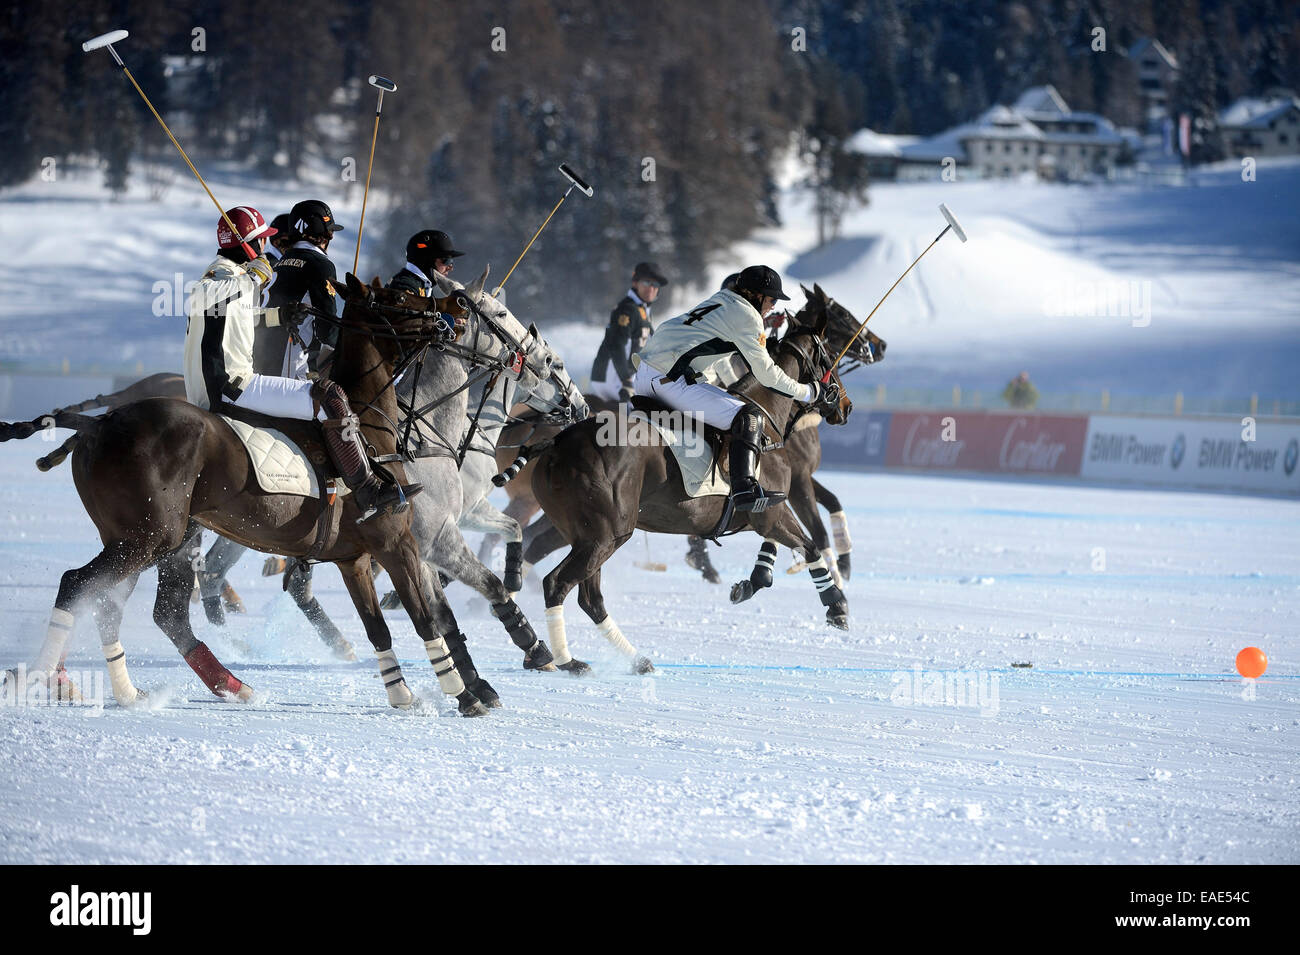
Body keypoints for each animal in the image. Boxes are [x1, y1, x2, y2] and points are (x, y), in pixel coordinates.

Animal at [0, 276, 491, 717]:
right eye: (401, 298)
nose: (453, 313)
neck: (373, 427)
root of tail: (98, 424)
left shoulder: (353, 559)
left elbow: (378, 629)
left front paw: (402, 694)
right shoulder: (395, 542)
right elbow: (424, 615)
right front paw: (463, 694)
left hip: (144, 539)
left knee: (128, 608)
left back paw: (162, 691)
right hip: (149, 537)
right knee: (79, 585)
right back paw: (41, 677)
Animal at [506, 310, 852, 675]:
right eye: (830, 354)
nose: (846, 405)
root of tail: (557, 442)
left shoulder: (771, 509)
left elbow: (790, 546)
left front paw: (749, 585)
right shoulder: (768, 510)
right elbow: (810, 545)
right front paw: (837, 607)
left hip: (586, 534)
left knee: (585, 593)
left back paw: (632, 659)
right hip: (606, 535)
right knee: (558, 583)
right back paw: (565, 659)